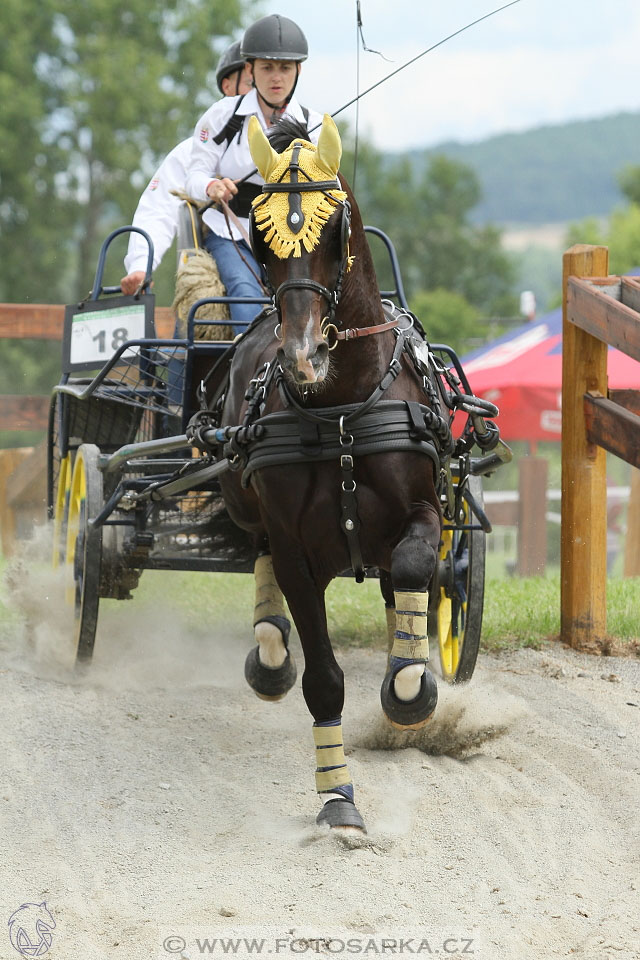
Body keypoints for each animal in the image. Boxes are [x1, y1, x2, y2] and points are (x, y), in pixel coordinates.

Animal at [218, 114, 448, 832]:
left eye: (334, 228)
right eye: (259, 236)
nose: (303, 356)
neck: (343, 405)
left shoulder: (426, 511)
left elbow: (412, 569)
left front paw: (410, 685)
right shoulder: (297, 550)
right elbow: (321, 677)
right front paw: (338, 796)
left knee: (402, 586)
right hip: (246, 505)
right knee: (261, 557)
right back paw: (269, 653)